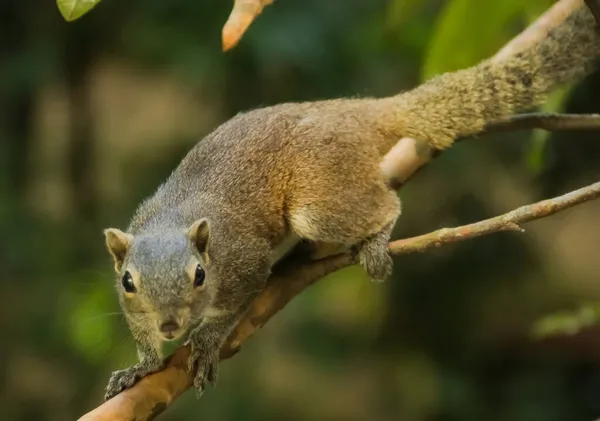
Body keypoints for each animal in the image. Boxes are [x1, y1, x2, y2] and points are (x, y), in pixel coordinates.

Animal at [102, 5, 600, 400]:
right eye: (127, 282)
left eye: (200, 275)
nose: (171, 326)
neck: (173, 221)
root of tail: (358, 113)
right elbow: (140, 333)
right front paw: (143, 365)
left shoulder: (244, 263)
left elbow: (238, 303)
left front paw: (206, 342)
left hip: (318, 198)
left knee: (385, 205)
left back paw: (377, 241)